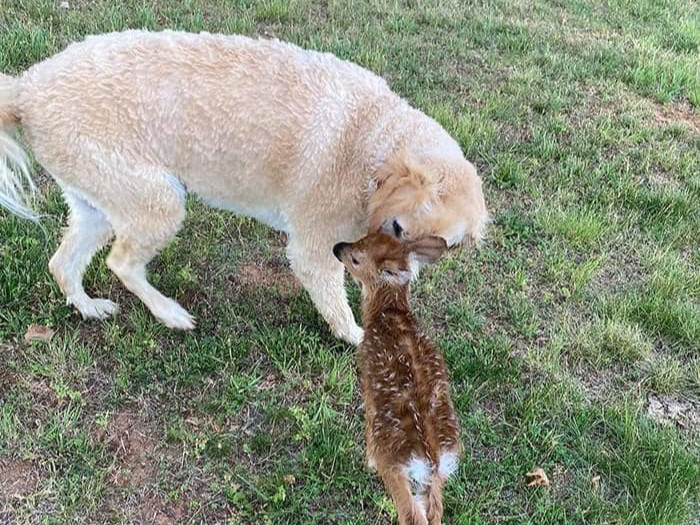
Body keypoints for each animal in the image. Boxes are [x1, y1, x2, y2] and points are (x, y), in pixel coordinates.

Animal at [0, 31, 490, 344]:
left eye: (433, 247)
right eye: (397, 227)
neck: (374, 140)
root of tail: (28, 88)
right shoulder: (315, 248)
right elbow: (335, 298)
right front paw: (356, 335)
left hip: (99, 200)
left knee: (63, 263)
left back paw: (88, 306)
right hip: (157, 199)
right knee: (121, 263)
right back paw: (169, 313)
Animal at [334, 234, 460, 524]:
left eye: (355, 259)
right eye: (364, 237)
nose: (337, 247)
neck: (389, 312)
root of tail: (431, 458)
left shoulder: (367, 378)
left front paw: (366, 459)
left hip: (393, 464)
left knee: (412, 514)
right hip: (435, 481)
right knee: (434, 510)